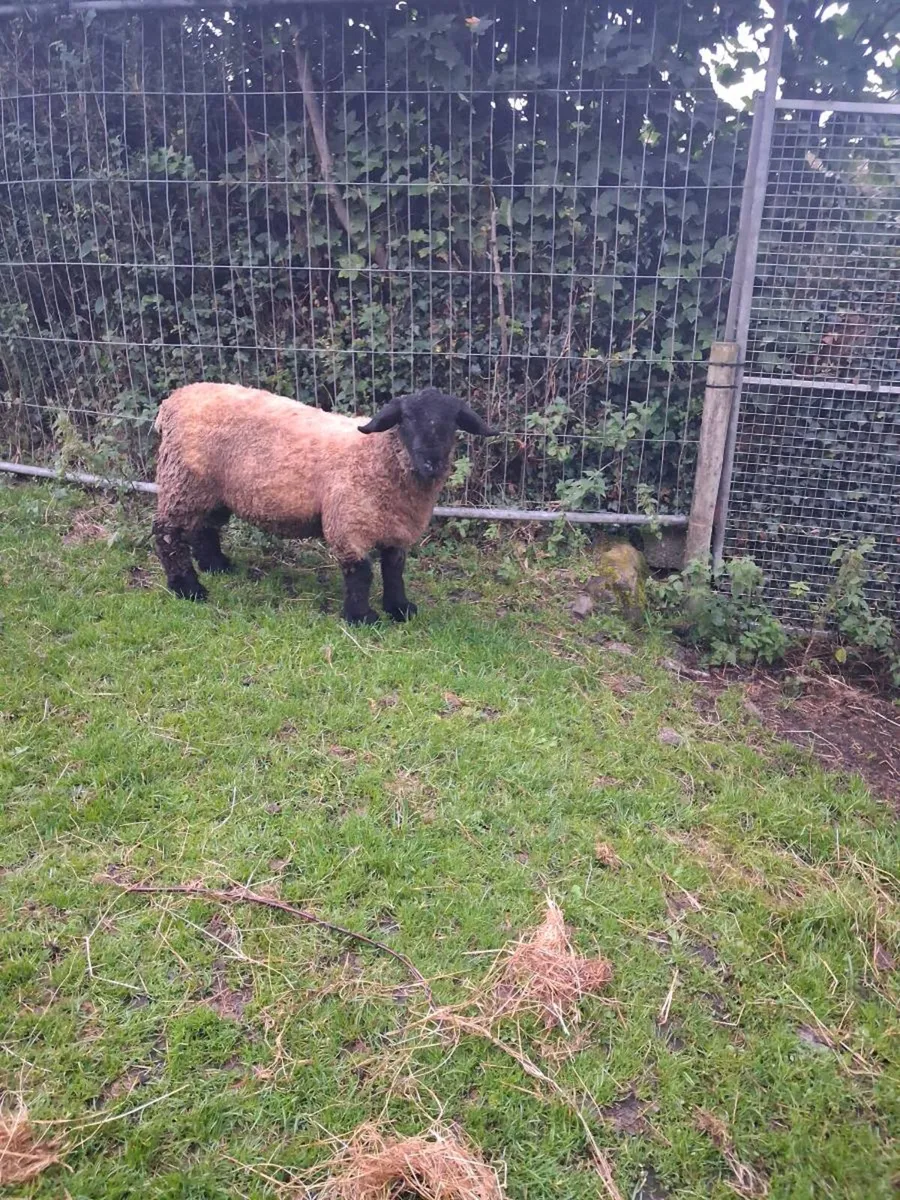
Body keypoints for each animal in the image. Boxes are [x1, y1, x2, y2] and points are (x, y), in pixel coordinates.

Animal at [152, 383, 496, 623]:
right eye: (407, 419)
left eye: (453, 423)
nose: (431, 463)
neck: (378, 456)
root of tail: (174, 399)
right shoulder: (349, 524)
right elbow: (361, 573)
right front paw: (362, 618)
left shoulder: (396, 527)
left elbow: (394, 569)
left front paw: (400, 609)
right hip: (184, 482)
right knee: (168, 534)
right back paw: (188, 588)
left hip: (213, 492)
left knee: (204, 529)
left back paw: (217, 566)